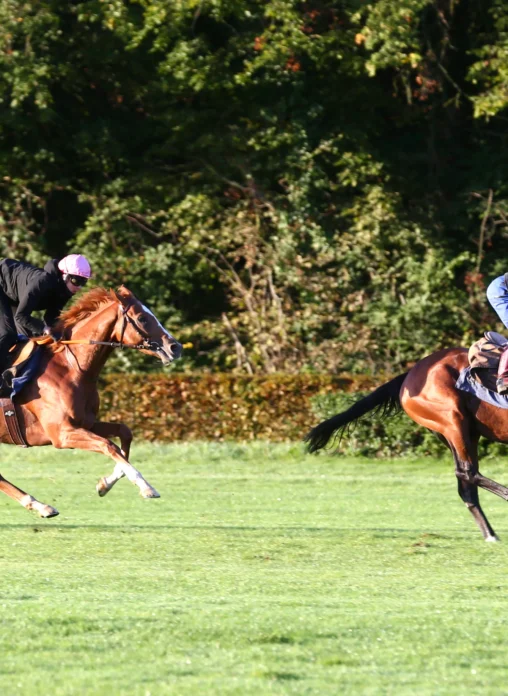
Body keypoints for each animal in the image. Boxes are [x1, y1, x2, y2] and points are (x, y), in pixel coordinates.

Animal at [0, 286, 183, 520]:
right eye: (142, 317)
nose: (175, 347)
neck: (71, 368)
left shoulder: (86, 422)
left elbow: (124, 433)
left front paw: (105, 484)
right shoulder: (62, 434)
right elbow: (108, 445)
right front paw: (146, 487)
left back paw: (40, 505)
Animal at [304, 348, 508, 544]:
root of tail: (410, 373)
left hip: (462, 431)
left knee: (466, 483)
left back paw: (491, 534)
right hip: (453, 421)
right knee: (467, 471)